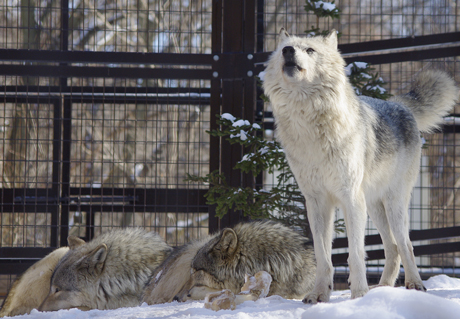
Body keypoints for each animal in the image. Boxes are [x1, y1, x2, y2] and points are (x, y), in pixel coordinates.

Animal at [264, 28, 458, 304]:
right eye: (285, 48)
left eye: (310, 50)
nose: (288, 51)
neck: (310, 125)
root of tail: (398, 104)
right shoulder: (316, 203)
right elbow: (323, 257)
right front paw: (319, 295)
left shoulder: (350, 199)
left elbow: (355, 254)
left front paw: (358, 295)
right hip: (374, 207)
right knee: (392, 247)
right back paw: (383, 288)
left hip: (393, 204)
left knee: (406, 245)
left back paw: (414, 284)